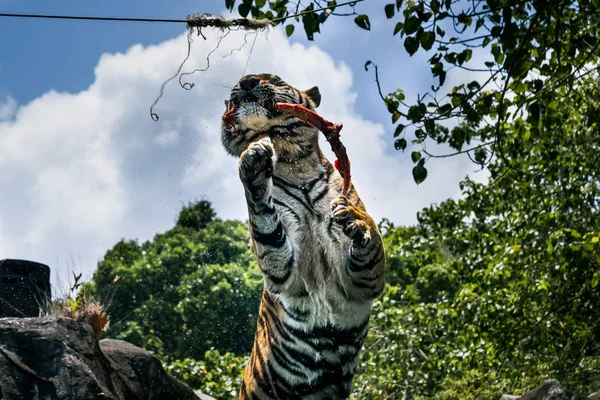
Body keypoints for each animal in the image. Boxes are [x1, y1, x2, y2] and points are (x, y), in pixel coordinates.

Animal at [219, 73, 384, 398]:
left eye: (275, 78)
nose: (247, 81)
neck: (293, 163)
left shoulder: (365, 283)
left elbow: (372, 239)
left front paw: (356, 219)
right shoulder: (284, 273)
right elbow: (266, 224)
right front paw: (254, 162)